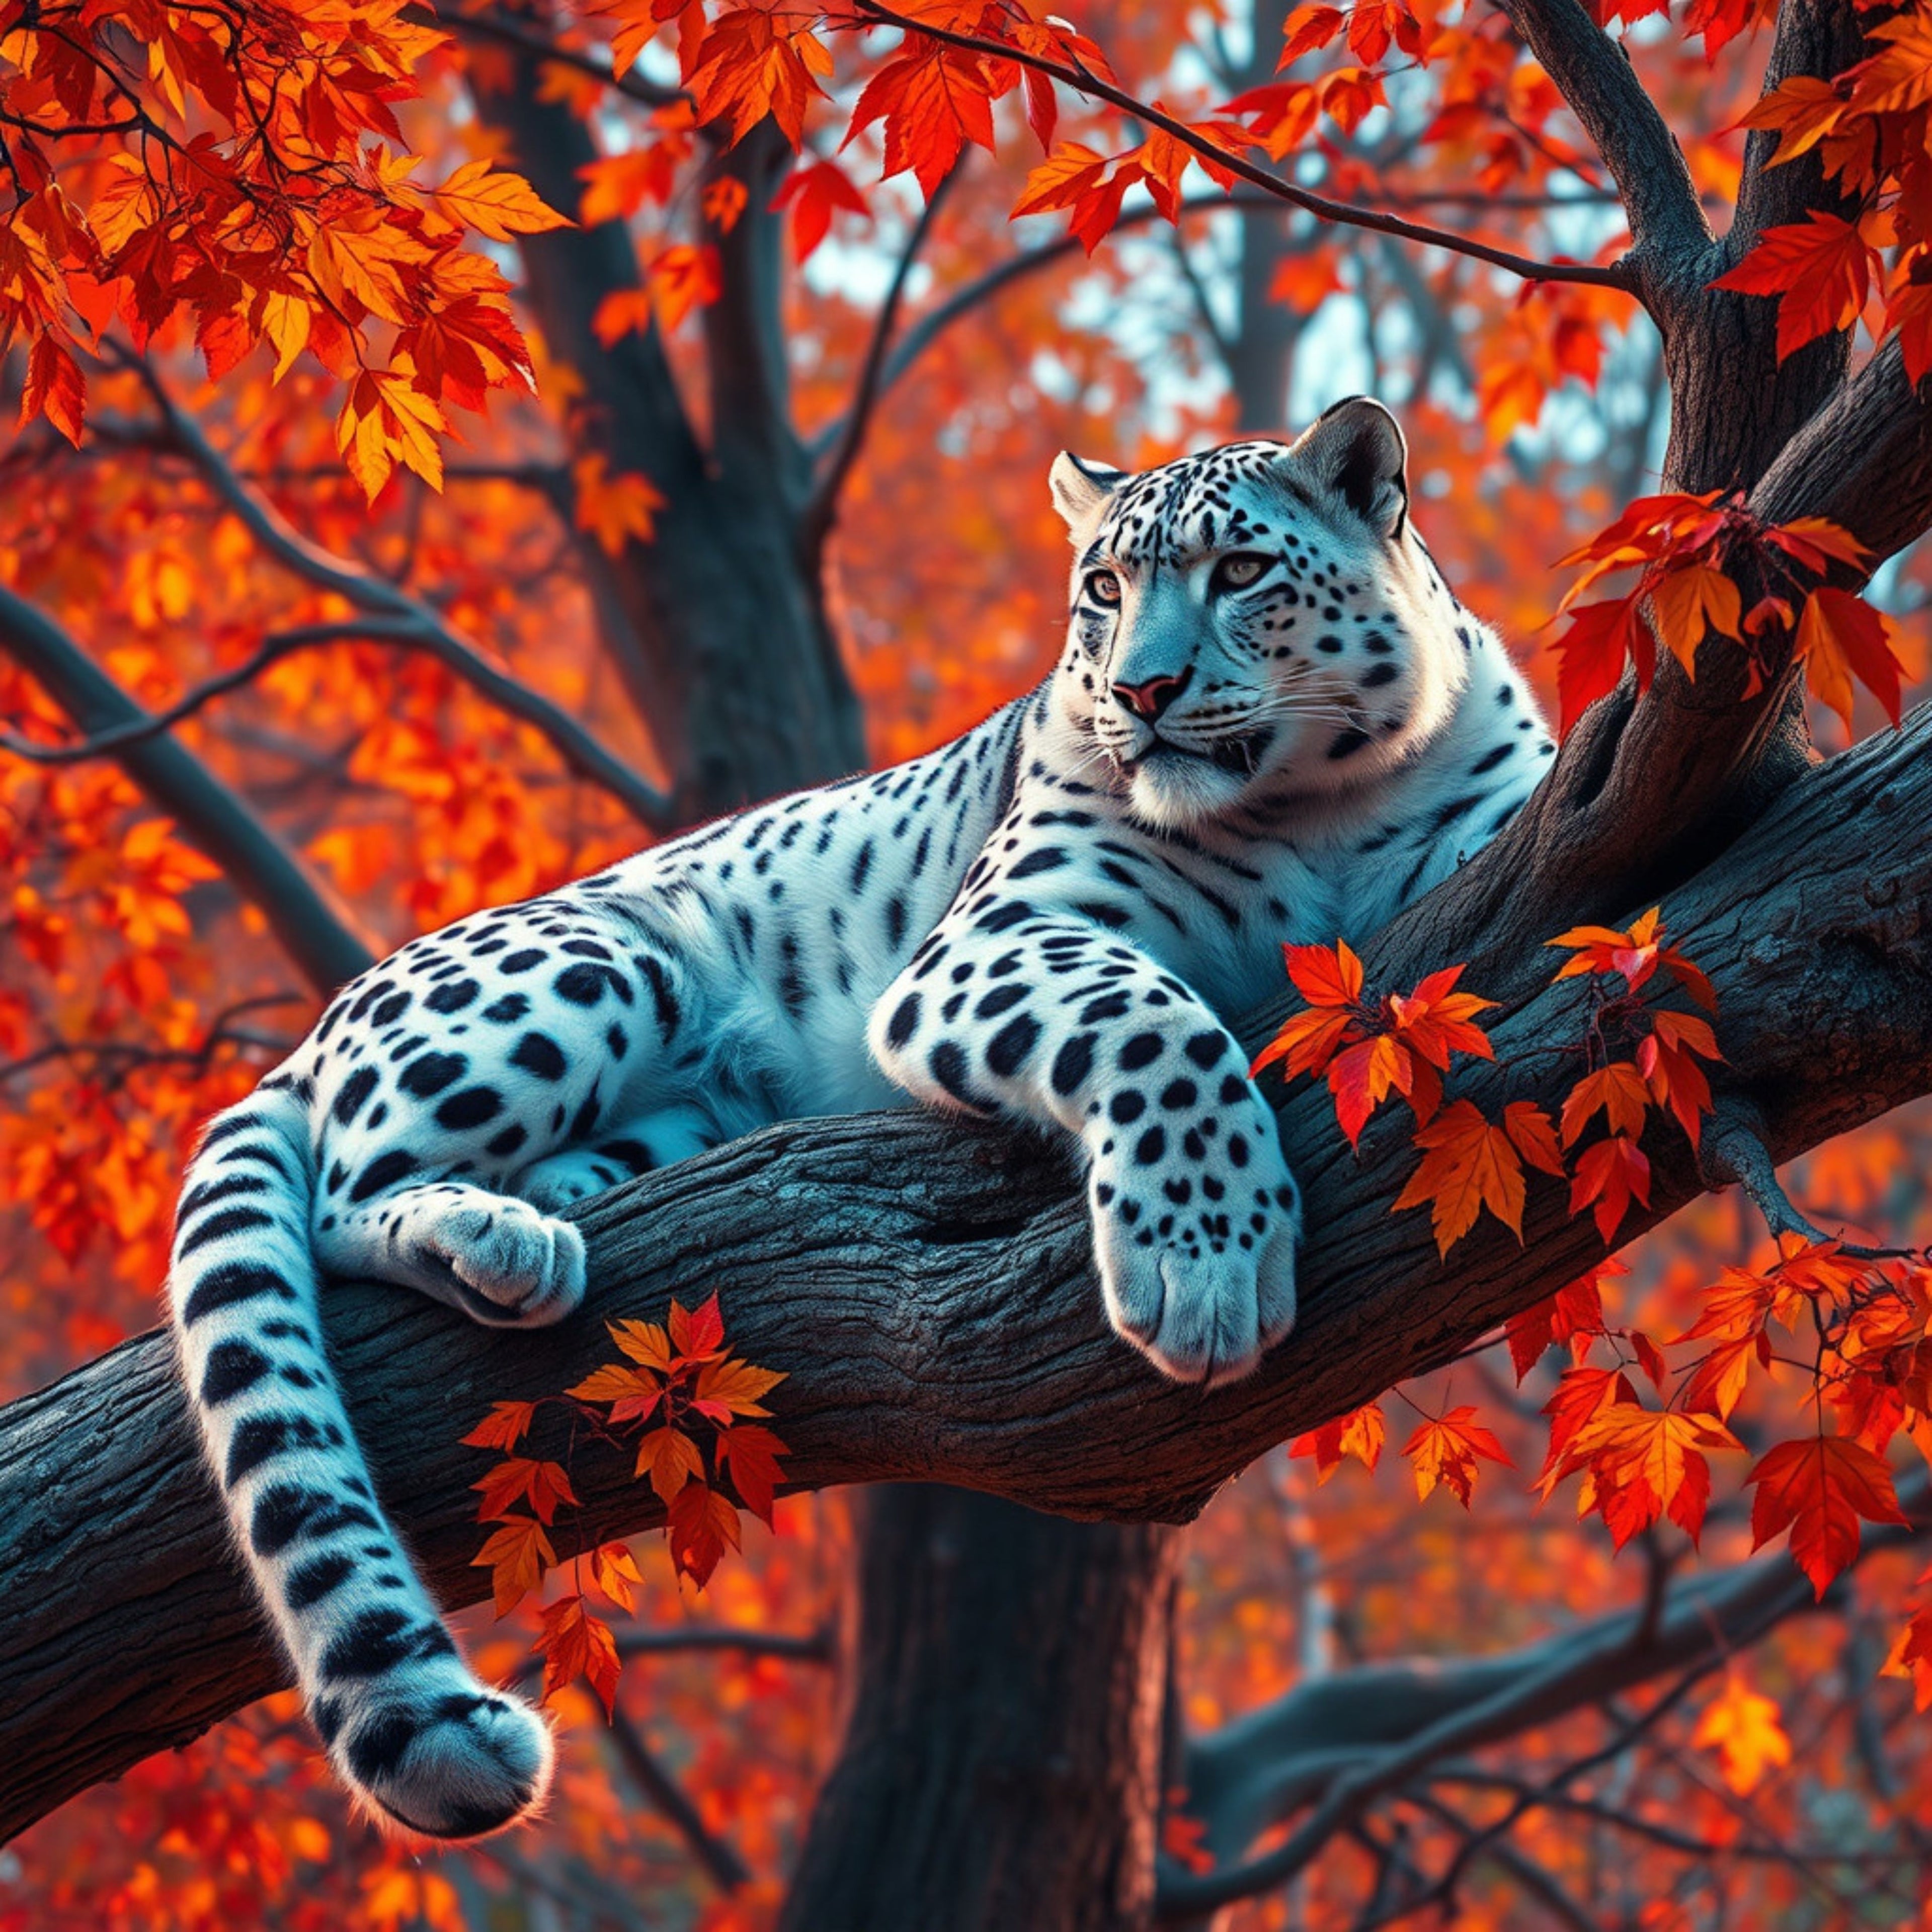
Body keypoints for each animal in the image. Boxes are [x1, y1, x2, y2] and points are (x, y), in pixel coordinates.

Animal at [164, 397, 1552, 1840]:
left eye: (1240, 573)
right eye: (1104, 593)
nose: (1141, 694)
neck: (1322, 808)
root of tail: (327, 1015)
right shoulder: (995, 939)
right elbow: (1157, 1022)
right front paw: (1201, 1266)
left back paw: (543, 1225)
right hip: (595, 964)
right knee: (341, 1192)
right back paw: (499, 1242)